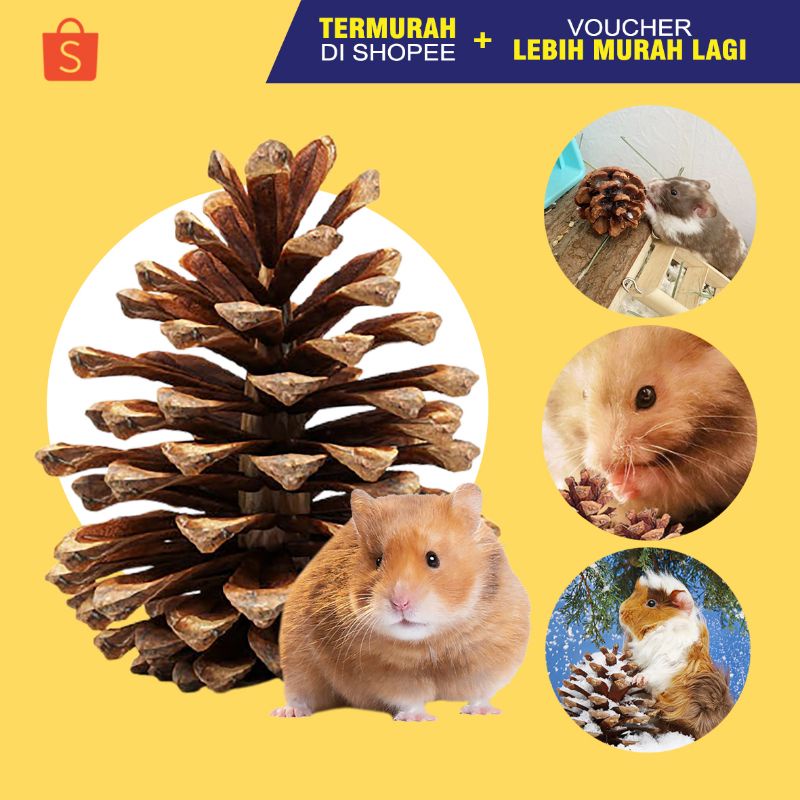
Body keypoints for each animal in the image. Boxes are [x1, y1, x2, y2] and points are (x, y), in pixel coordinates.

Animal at [272, 484, 530, 721]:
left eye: (433, 559)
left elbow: (481, 691)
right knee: (300, 691)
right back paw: (288, 712)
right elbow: (409, 698)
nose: (400, 603)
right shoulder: (387, 672)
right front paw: (418, 718)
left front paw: (482, 712)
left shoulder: (493, 655)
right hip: (298, 656)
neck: (431, 641)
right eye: (378, 561)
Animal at [543, 326, 756, 523]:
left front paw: (619, 485)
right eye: (584, 394)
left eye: (646, 396)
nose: (606, 466)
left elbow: (682, 480)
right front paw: (609, 483)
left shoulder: (732, 460)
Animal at [619, 571, 733, 739]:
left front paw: (638, 679)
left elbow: (652, 671)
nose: (621, 611)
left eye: (651, 603)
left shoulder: (669, 661)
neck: (659, 628)